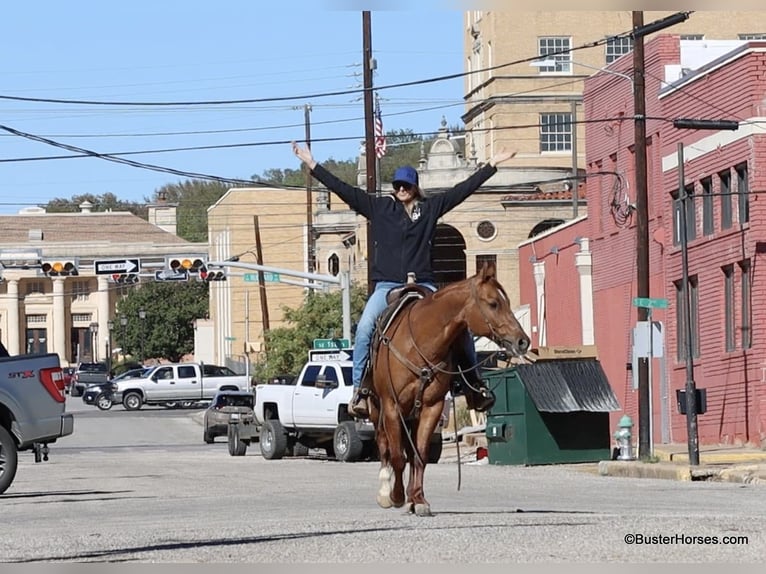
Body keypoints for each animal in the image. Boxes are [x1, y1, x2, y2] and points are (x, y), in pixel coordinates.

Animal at [367, 262, 530, 516]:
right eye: (493, 303)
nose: (522, 341)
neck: (420, 343)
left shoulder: (431, 407)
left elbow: (420, 454)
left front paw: (418, 499)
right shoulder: (392, 406)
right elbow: (396, 456)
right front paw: (396, 496)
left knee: (408, 449)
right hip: (377, 408)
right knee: (384, 445)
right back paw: (385, 491)